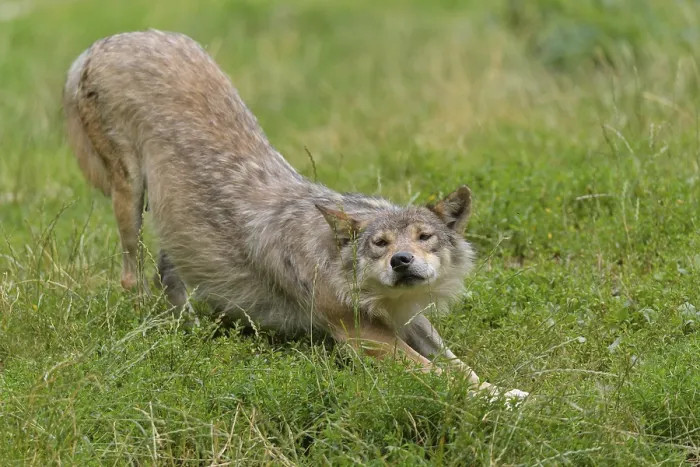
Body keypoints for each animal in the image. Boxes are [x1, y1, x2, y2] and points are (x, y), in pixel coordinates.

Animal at [62, 29, 528, 402]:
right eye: (379, 245)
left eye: (423, 237)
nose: (402, 261)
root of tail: (108, 41)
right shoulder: (361, 335)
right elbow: (440, 375)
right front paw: (504, 404)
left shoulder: (408, 320)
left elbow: (461, 366)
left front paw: (506, 392)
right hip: (129, 197)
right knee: (131, 277)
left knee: (166, 271)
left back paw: (191, 326)